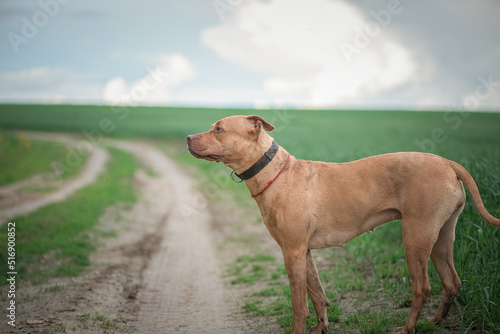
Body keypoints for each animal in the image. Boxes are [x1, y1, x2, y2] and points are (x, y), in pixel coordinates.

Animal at [188, 115, 500, 334]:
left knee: (422, 287)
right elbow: (316, 293)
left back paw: (409, 327)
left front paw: (299, 329)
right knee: (451, 282)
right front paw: (320, 326)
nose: (188, 136)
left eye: (218, 129)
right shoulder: (303, 252)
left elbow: (298, 302)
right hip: (441, 237)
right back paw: (434, 321)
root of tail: (449, 163)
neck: (273, 171)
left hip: (416, 236)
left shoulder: (292, 252)